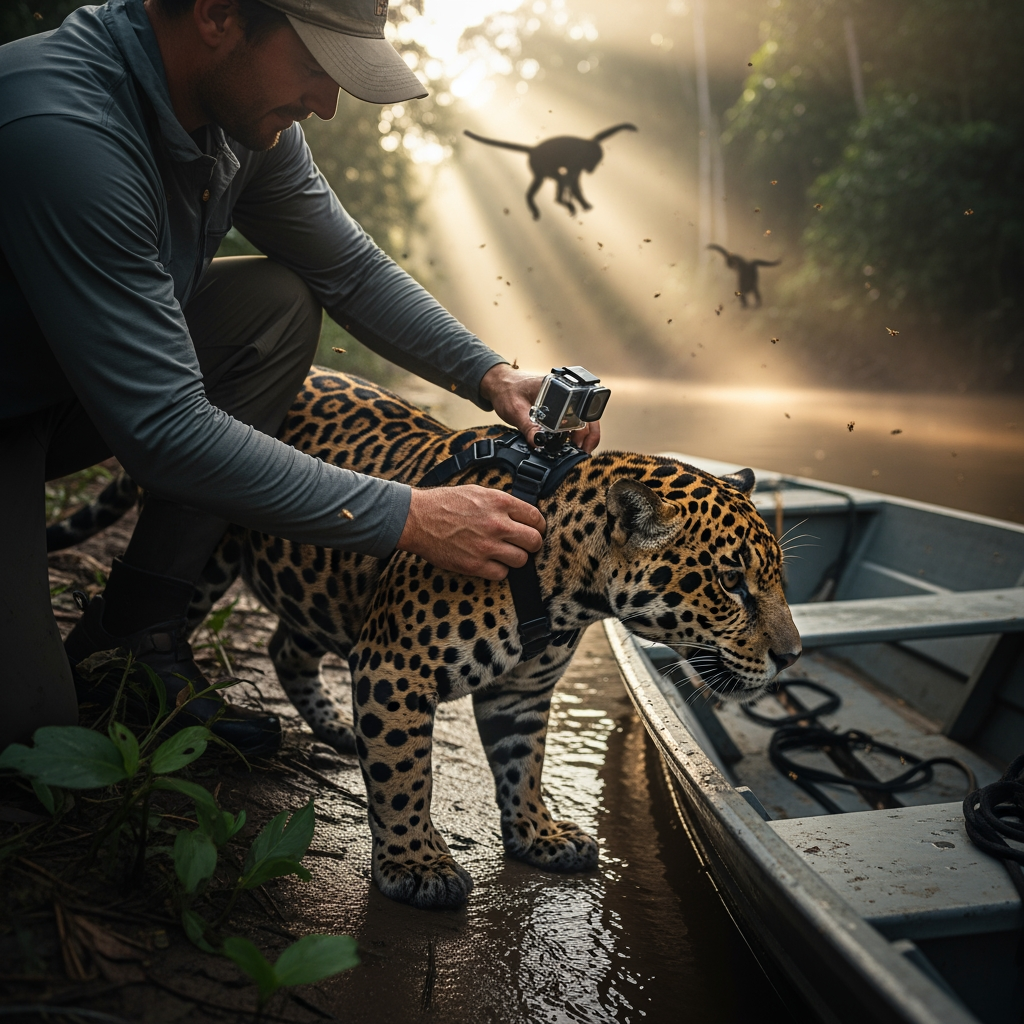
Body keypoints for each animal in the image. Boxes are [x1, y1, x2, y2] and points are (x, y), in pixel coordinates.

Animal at [54, 369, 801, 909]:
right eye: (731, 582)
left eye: (776, 578)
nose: (791, 655)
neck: (569, 587)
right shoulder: (395, 668)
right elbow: (406, 775)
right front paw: (417, 865)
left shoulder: (522, 691)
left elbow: (524, 765)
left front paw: (538, 834)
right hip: (212, 560)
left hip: (321, 586)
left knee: (286, 648)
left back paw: (335, 726)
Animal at [463, 124, 638, 220]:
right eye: (593, 162)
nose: (592, 170)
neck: (586, 149)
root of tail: (533, 150)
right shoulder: (577, 160)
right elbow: (569, 179)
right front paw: (575, 201)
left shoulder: (586, 152)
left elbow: (573, 179)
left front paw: (582, 202)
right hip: (539, 163)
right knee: (557, 178)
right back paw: (559, 201)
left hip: (538, 166)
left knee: (551, 178)